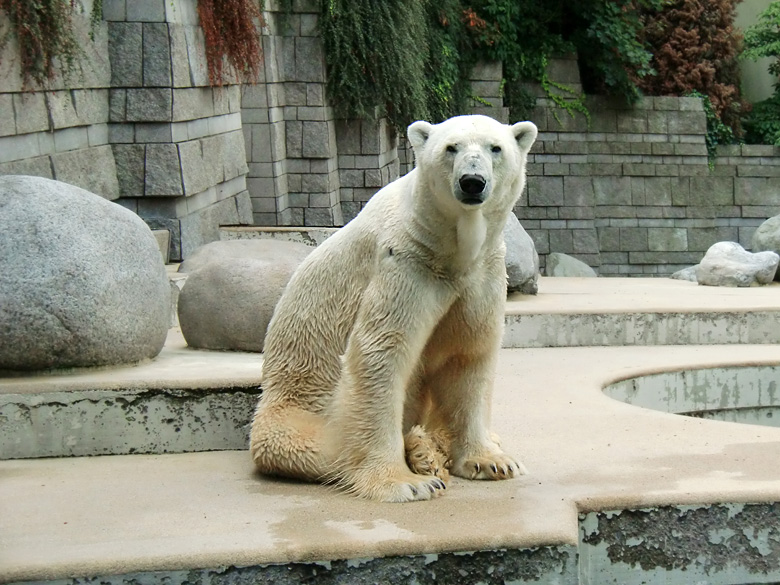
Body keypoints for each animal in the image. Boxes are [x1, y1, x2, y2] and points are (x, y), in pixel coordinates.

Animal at [250, 115, 536, 502]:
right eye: (451, 148)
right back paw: (418, 451)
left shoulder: (483, 272)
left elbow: (468, 353)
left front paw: (492, 461)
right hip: (294, 409)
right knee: (325, 447)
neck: (449, 250)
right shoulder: (404, 261)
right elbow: (382, 352)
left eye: (496, 148)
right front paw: (405, 482)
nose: (472, 181)